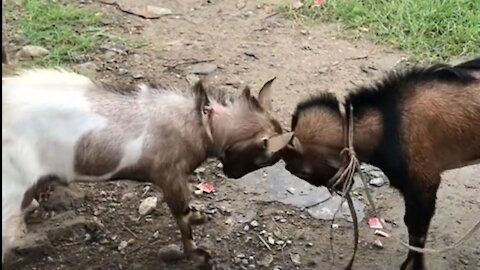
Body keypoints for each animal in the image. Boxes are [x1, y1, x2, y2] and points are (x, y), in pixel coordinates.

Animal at [1, 68, 290, 266]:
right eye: (267, 159)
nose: (231, 173)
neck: (202, 122)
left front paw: (199, 216)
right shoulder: (170, 175)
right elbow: (182, 217)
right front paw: (197, 254)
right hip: (13, 185)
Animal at [282, 58, 480, 268]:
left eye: (301, 171)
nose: (339, 187)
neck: (385, 123)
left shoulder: (423, 182)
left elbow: (416, 231)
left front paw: (412, 266)